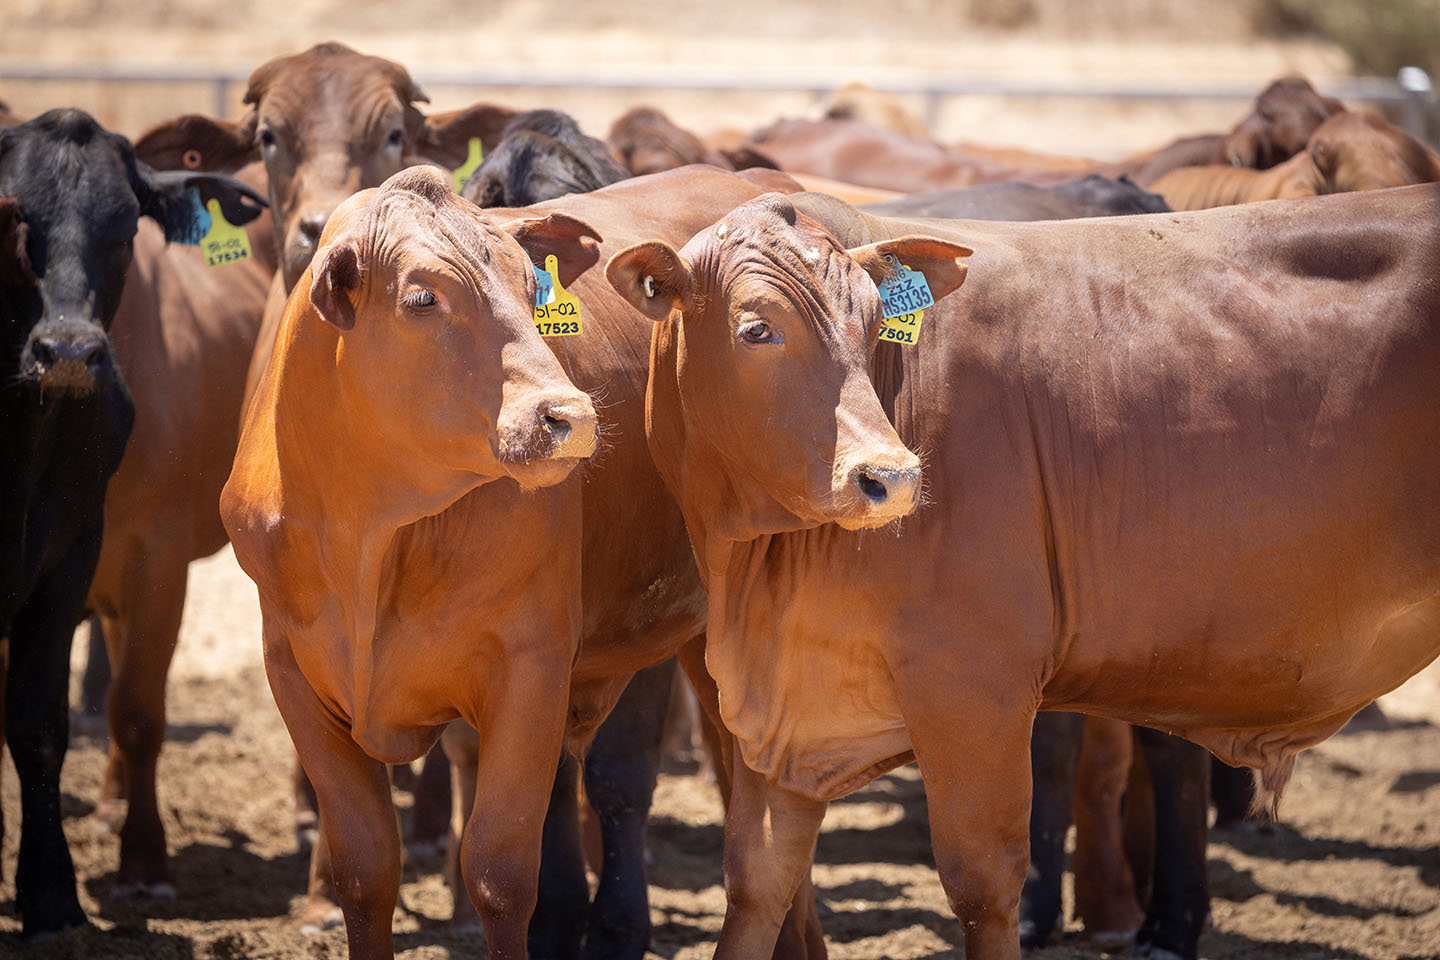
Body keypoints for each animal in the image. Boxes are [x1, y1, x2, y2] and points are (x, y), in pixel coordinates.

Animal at [0, 107, 262, 938]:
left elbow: (128, 714)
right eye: (16, 222)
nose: (69, 350)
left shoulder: (139, 559)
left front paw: (134, 868)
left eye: (125, 231)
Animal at [607, 184, 1440, 959]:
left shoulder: (974, 684)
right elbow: (758, 880)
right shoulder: (780, 702)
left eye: (875, 325)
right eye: (756, 329)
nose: (891, 478)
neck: (760, 567)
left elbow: (982, 883)